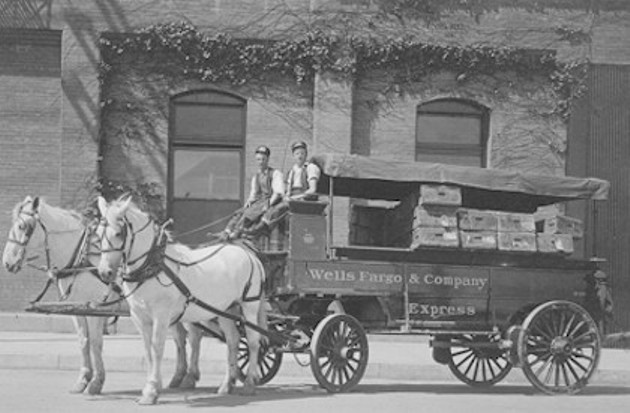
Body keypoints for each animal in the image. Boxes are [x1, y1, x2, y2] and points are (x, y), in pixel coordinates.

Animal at [1, 197, 202, 396]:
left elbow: (96, 342)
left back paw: (190, 376)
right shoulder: (77, 309)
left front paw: (97, 382)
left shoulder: (95, 309)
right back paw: (178, 376)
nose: (7, 262)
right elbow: (83, 341)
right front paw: (83, 379)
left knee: (193, 336)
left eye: (22, 226)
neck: (81, 260)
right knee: (180, 338)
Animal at [96, 195, 266, 404]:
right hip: (226, 309)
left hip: (249, 305)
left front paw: (152, 390)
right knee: (233, 340)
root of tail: (250, 255)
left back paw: (249, 383)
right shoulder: (139, 316)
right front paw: (149, 388)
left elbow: (157, 347)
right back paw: (226, 385)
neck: (153, 264)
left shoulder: (161, 315)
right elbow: (148, 349)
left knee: (252, 341)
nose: (105, 272)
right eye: (98, 234)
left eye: (119, 233)